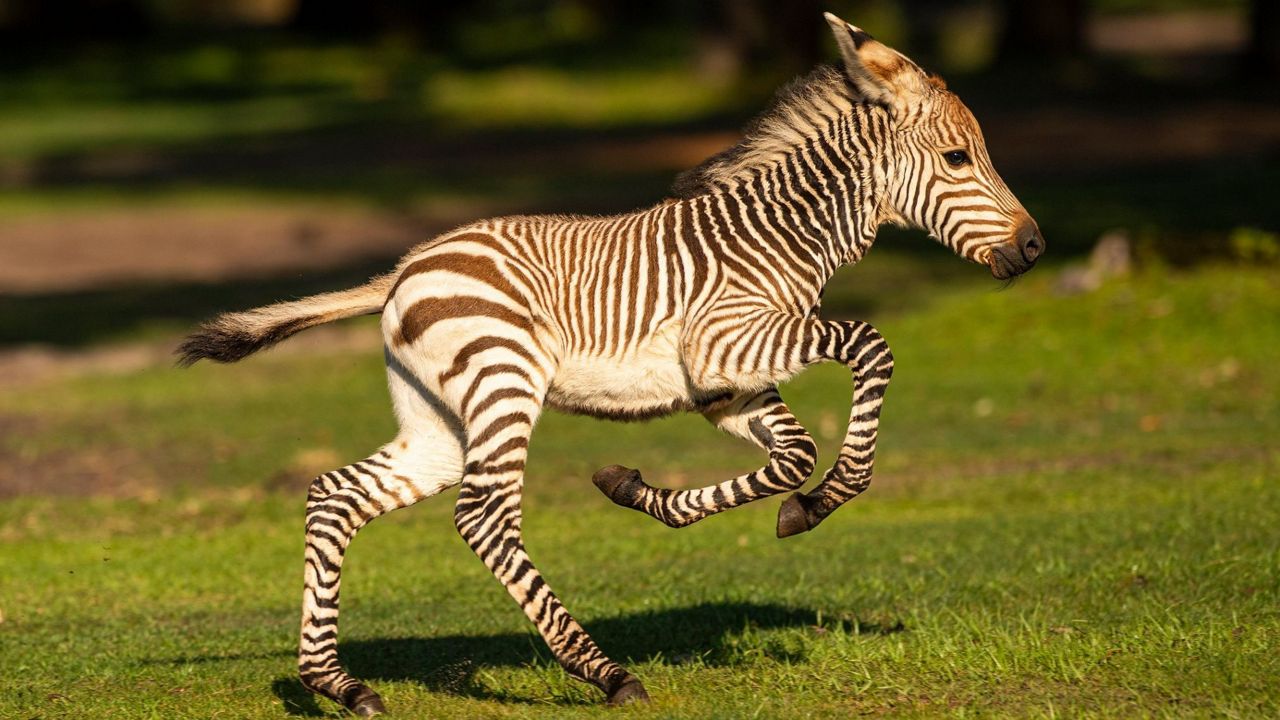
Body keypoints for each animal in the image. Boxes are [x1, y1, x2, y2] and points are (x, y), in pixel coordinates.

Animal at [177, 14, 1039, 712]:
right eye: (957, 158)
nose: (1033, 248)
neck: (782, 234)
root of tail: (403, 269)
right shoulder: (729, 340)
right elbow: (869, 346)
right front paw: (828, 496)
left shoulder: (723, 387)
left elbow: (792, 456)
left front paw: (649, 491)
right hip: (502, 384)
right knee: (483, 517)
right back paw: (605, 673)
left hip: (438, 422)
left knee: (335, 496)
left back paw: (338, 684)